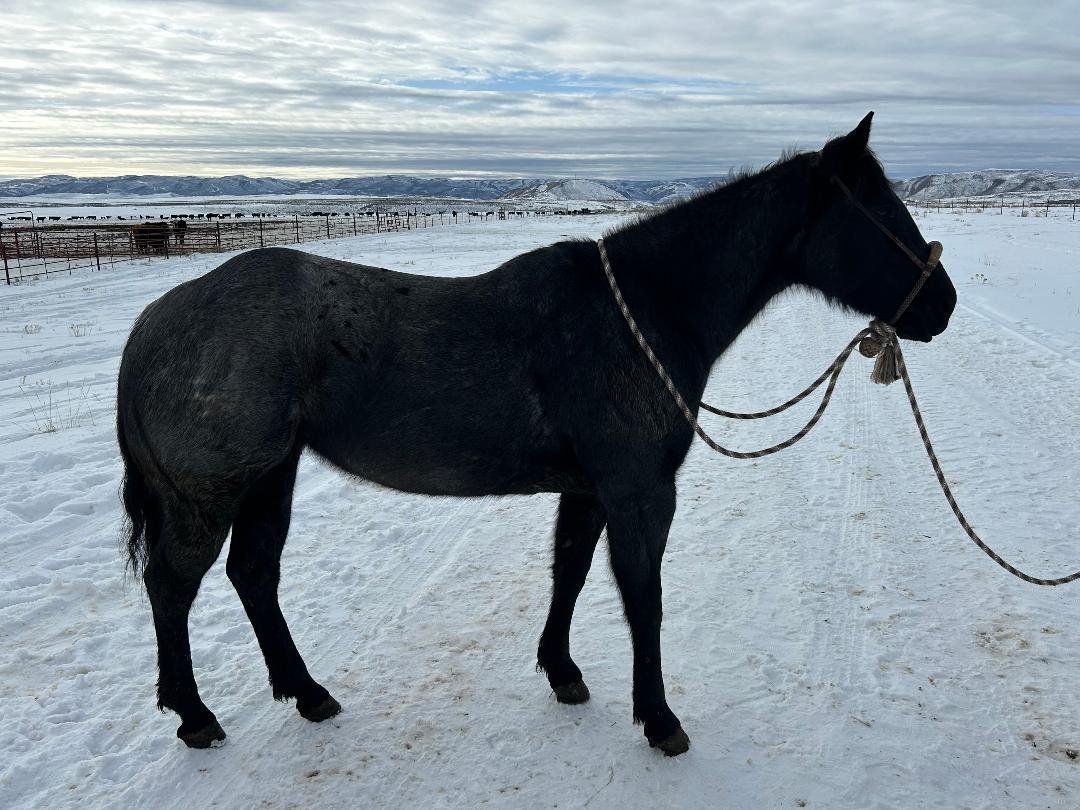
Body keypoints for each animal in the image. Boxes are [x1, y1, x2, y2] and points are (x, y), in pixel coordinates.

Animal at [116, 113, 956, 755]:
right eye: (880, 213)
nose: (940, 304)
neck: (642, 311)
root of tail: (156, 322)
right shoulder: (639, 492)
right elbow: (643, 599)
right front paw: (659, 718)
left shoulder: (589, 491)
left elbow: (571, 574)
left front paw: (563, 672)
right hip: (211, 495)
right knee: (173, 587)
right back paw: (194, 715)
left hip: (272, 476)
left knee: (254, 575)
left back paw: (307, 691)